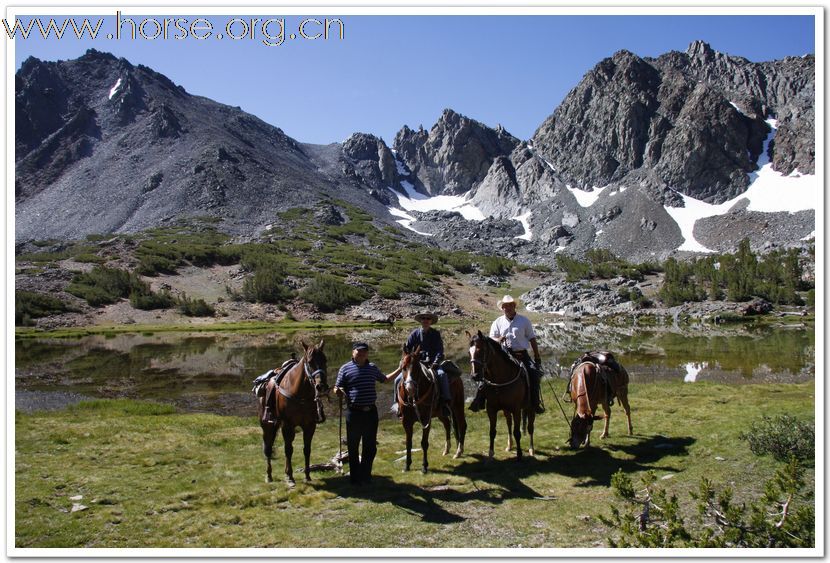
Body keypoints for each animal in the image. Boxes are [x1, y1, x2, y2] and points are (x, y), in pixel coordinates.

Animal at [254, 340, 332, 484]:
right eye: (310, 362)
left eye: (325, 359)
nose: (321, 386)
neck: (300, 395)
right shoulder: (287, 425)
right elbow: (288, 450)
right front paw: (290, 477)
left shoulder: (310, 426)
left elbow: (306, 449)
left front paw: (307, 476)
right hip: (267, 426)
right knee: (268, 448)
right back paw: (269, 475)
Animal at [398, 346, 468, 474]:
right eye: (403, 367)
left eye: (417, 368)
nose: (410, 388)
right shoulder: (406, 421)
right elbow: (408, 443)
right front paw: (407, 465)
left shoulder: (426, 420)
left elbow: (424, 443)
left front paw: (424, 466)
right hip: (441, 413)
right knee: (447, 424)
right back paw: (447, 449)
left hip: (457, 406)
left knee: (462, 425)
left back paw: (458, 451)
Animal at [468, 332, 540, 460]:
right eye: (469, 352)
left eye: (480, 350)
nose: (475, 376)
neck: (501, 379)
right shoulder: (491, 409)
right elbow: (492, 431)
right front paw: (490, 453)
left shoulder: (516, 409)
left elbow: (517, 432)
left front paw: (519, 455)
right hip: (506, 410)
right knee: (509, 424)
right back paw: (509, 445)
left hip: (530, 408)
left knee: (530, 427)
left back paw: (531, 449)